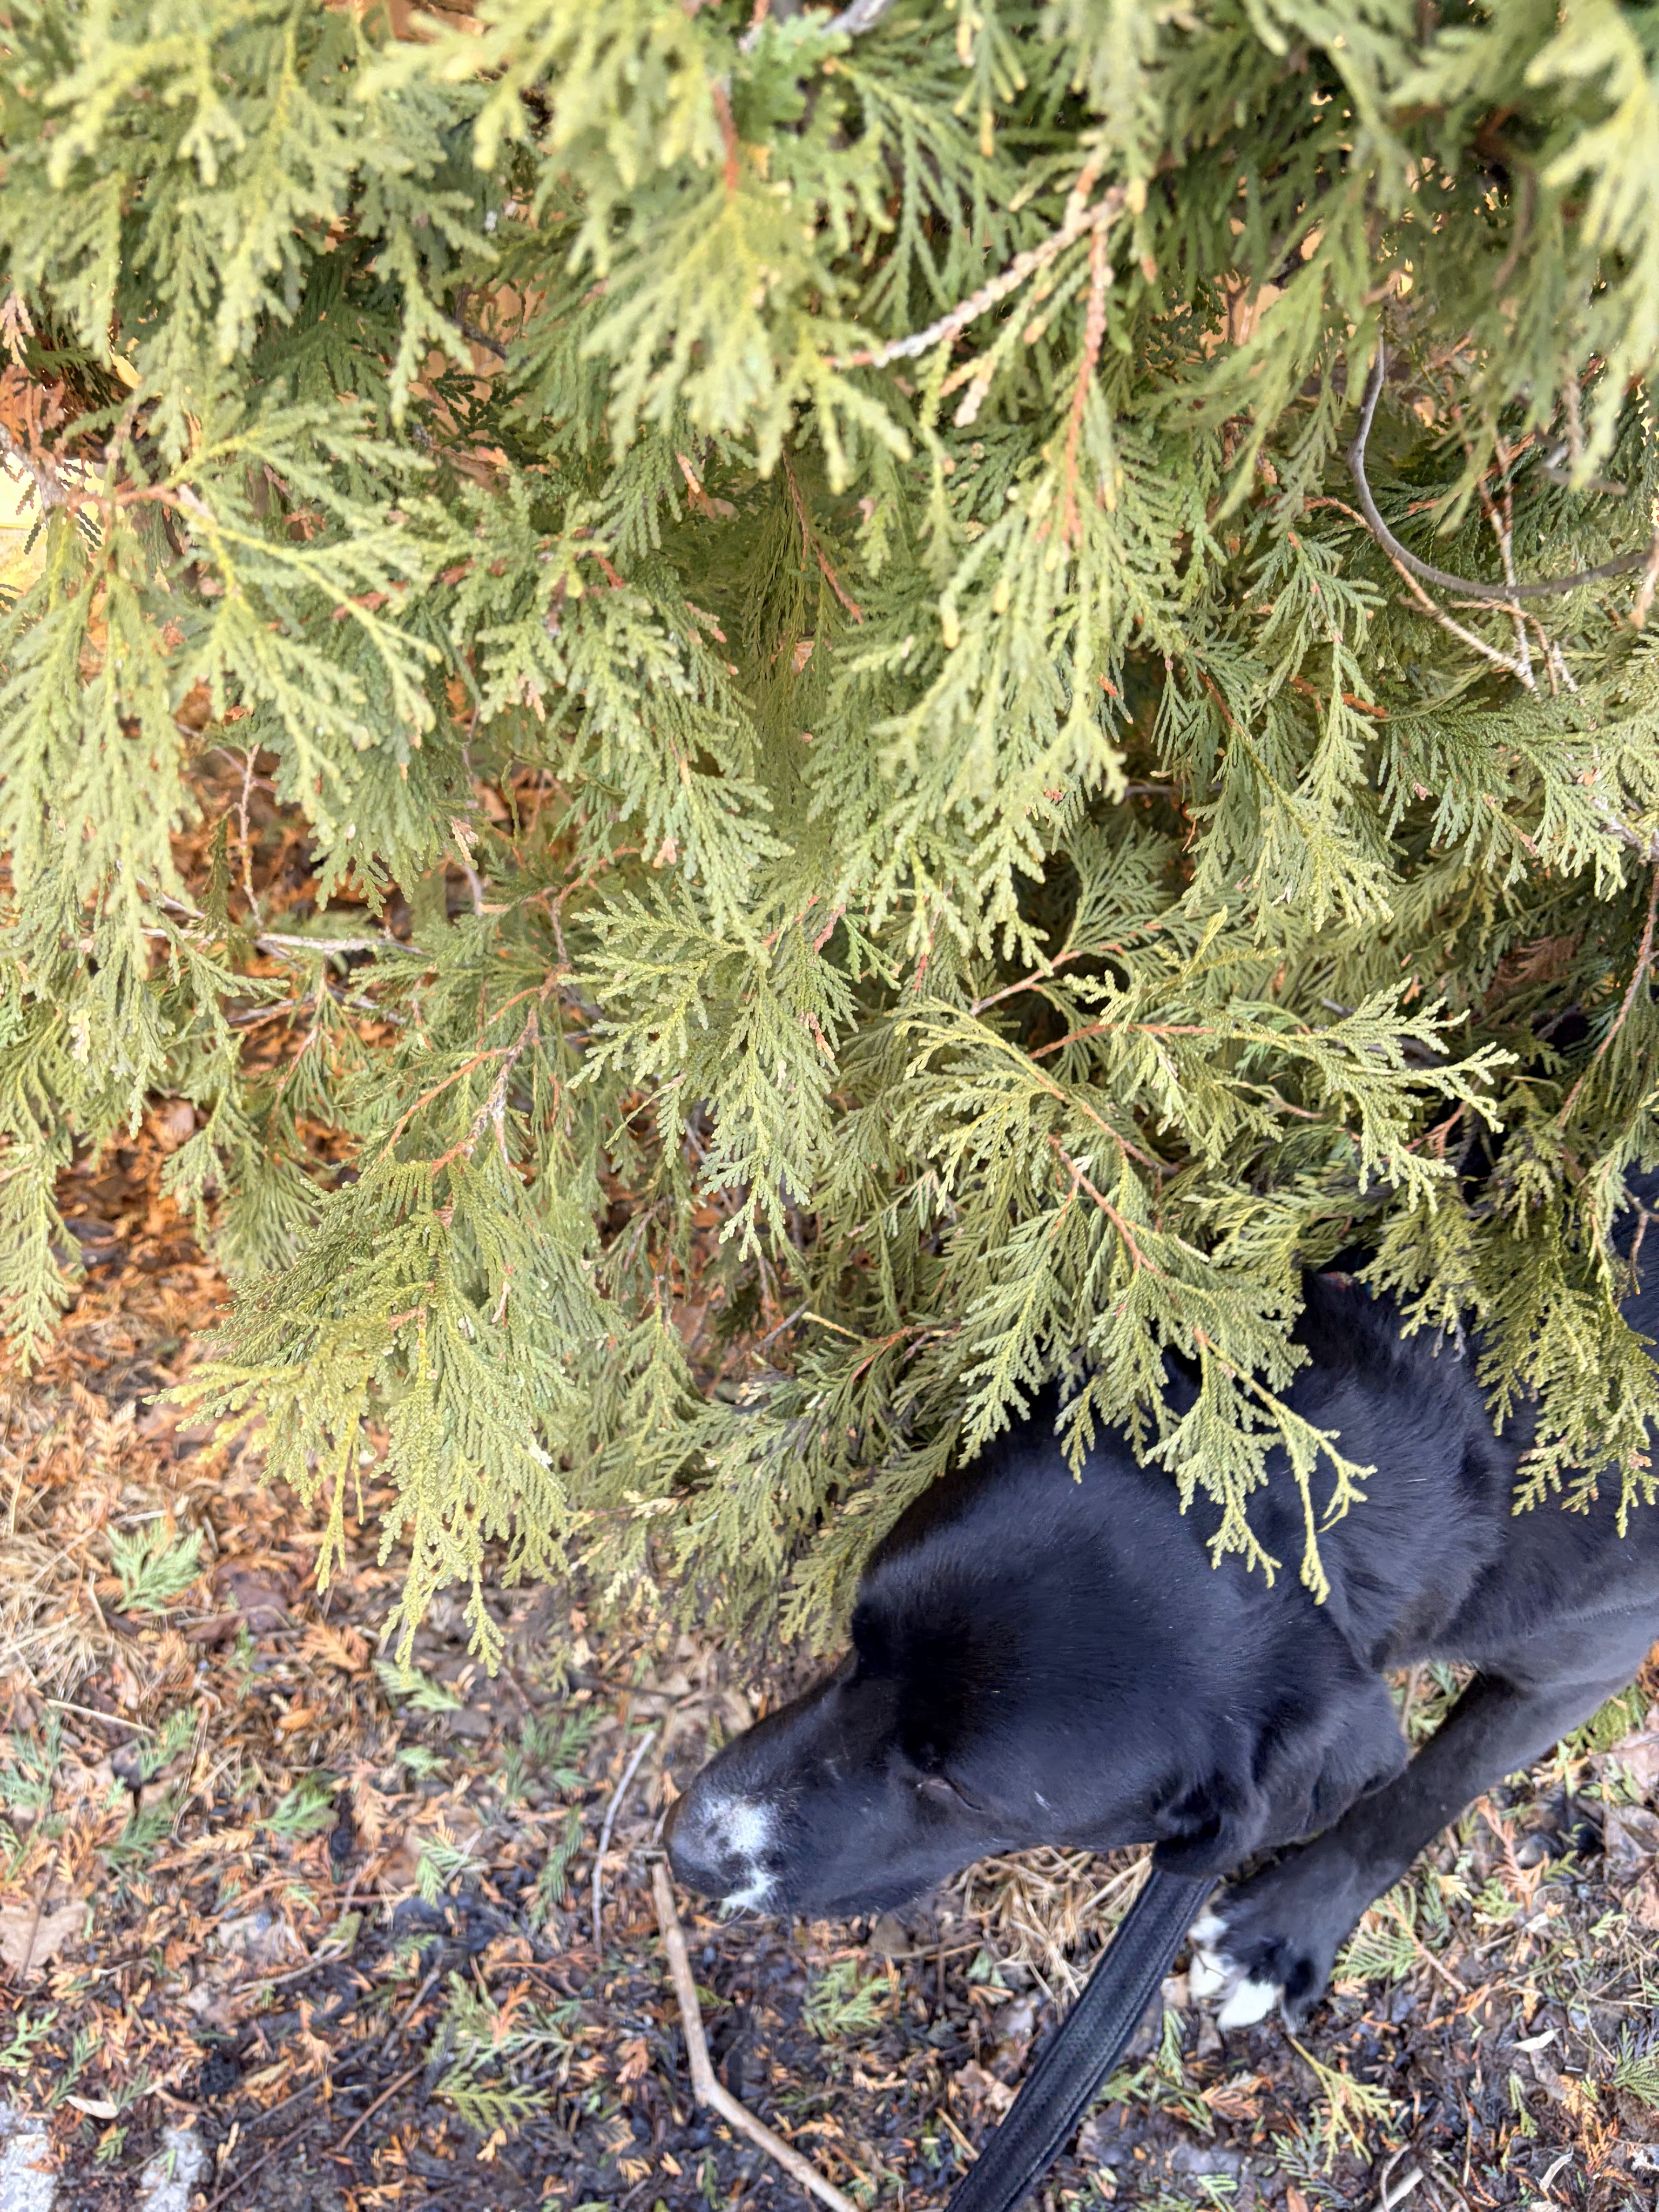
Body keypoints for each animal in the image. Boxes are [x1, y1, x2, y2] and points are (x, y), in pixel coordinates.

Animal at [668, 1182, 1659, 2029]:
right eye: (856, 1638)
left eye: (954, 1787)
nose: (689, 1852)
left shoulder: (1585, 1662)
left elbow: (1421, 1792)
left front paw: (1284, 1934)